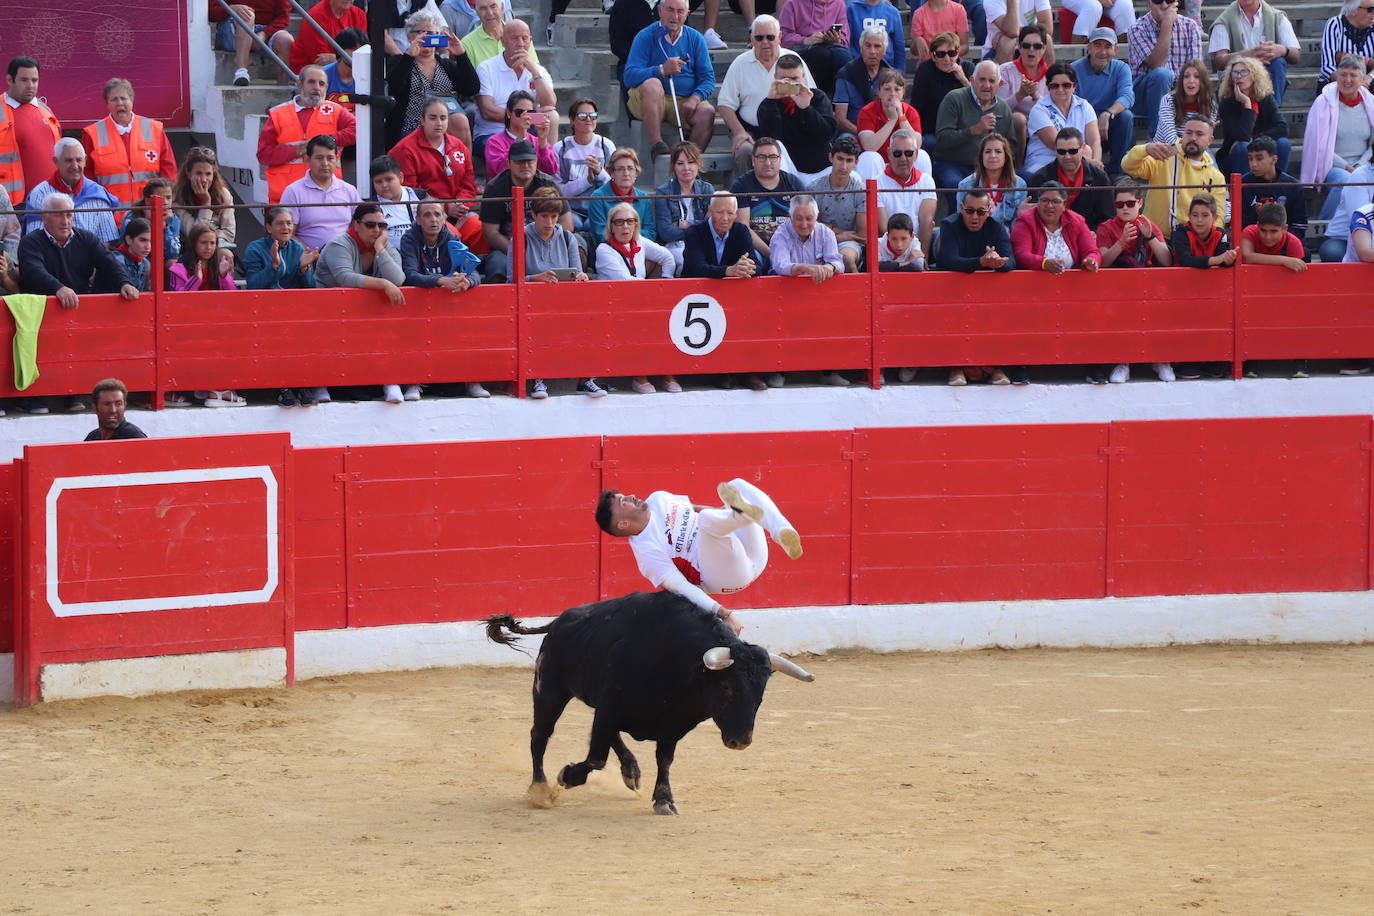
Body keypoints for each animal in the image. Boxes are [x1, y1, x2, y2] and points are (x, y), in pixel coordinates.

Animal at [486, 590, 813, 813]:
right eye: (727, 687)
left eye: (761, 693)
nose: (741, 741)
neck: (678, 663)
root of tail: (558, 622)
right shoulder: (610, 707)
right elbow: (596, 757)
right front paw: (567, 775)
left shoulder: (672, 724)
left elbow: (664, 760)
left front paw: (664, 800)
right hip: (549, 691)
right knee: (540, 735)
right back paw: (540, 789)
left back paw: (631, 772)